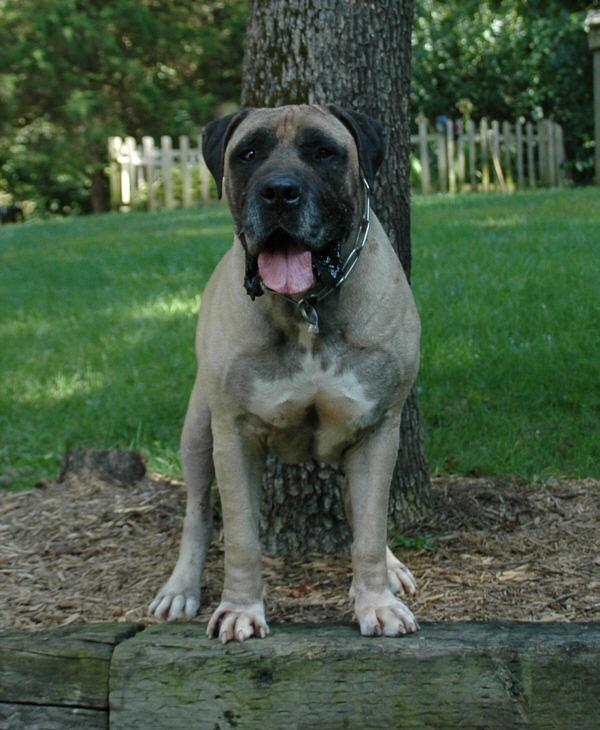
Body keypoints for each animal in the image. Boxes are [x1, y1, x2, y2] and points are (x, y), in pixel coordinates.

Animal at [149, 105, 422, 640]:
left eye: (324, 152)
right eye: (248, 153)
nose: (279, 191)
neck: (307, 309)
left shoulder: (377, 428)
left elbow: (369, 528)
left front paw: (375, 601)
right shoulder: (232, 435)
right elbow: (241, 538)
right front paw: (240, 609)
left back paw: (389, 567)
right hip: (198, 431)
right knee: (196, 512)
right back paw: (180, 587)